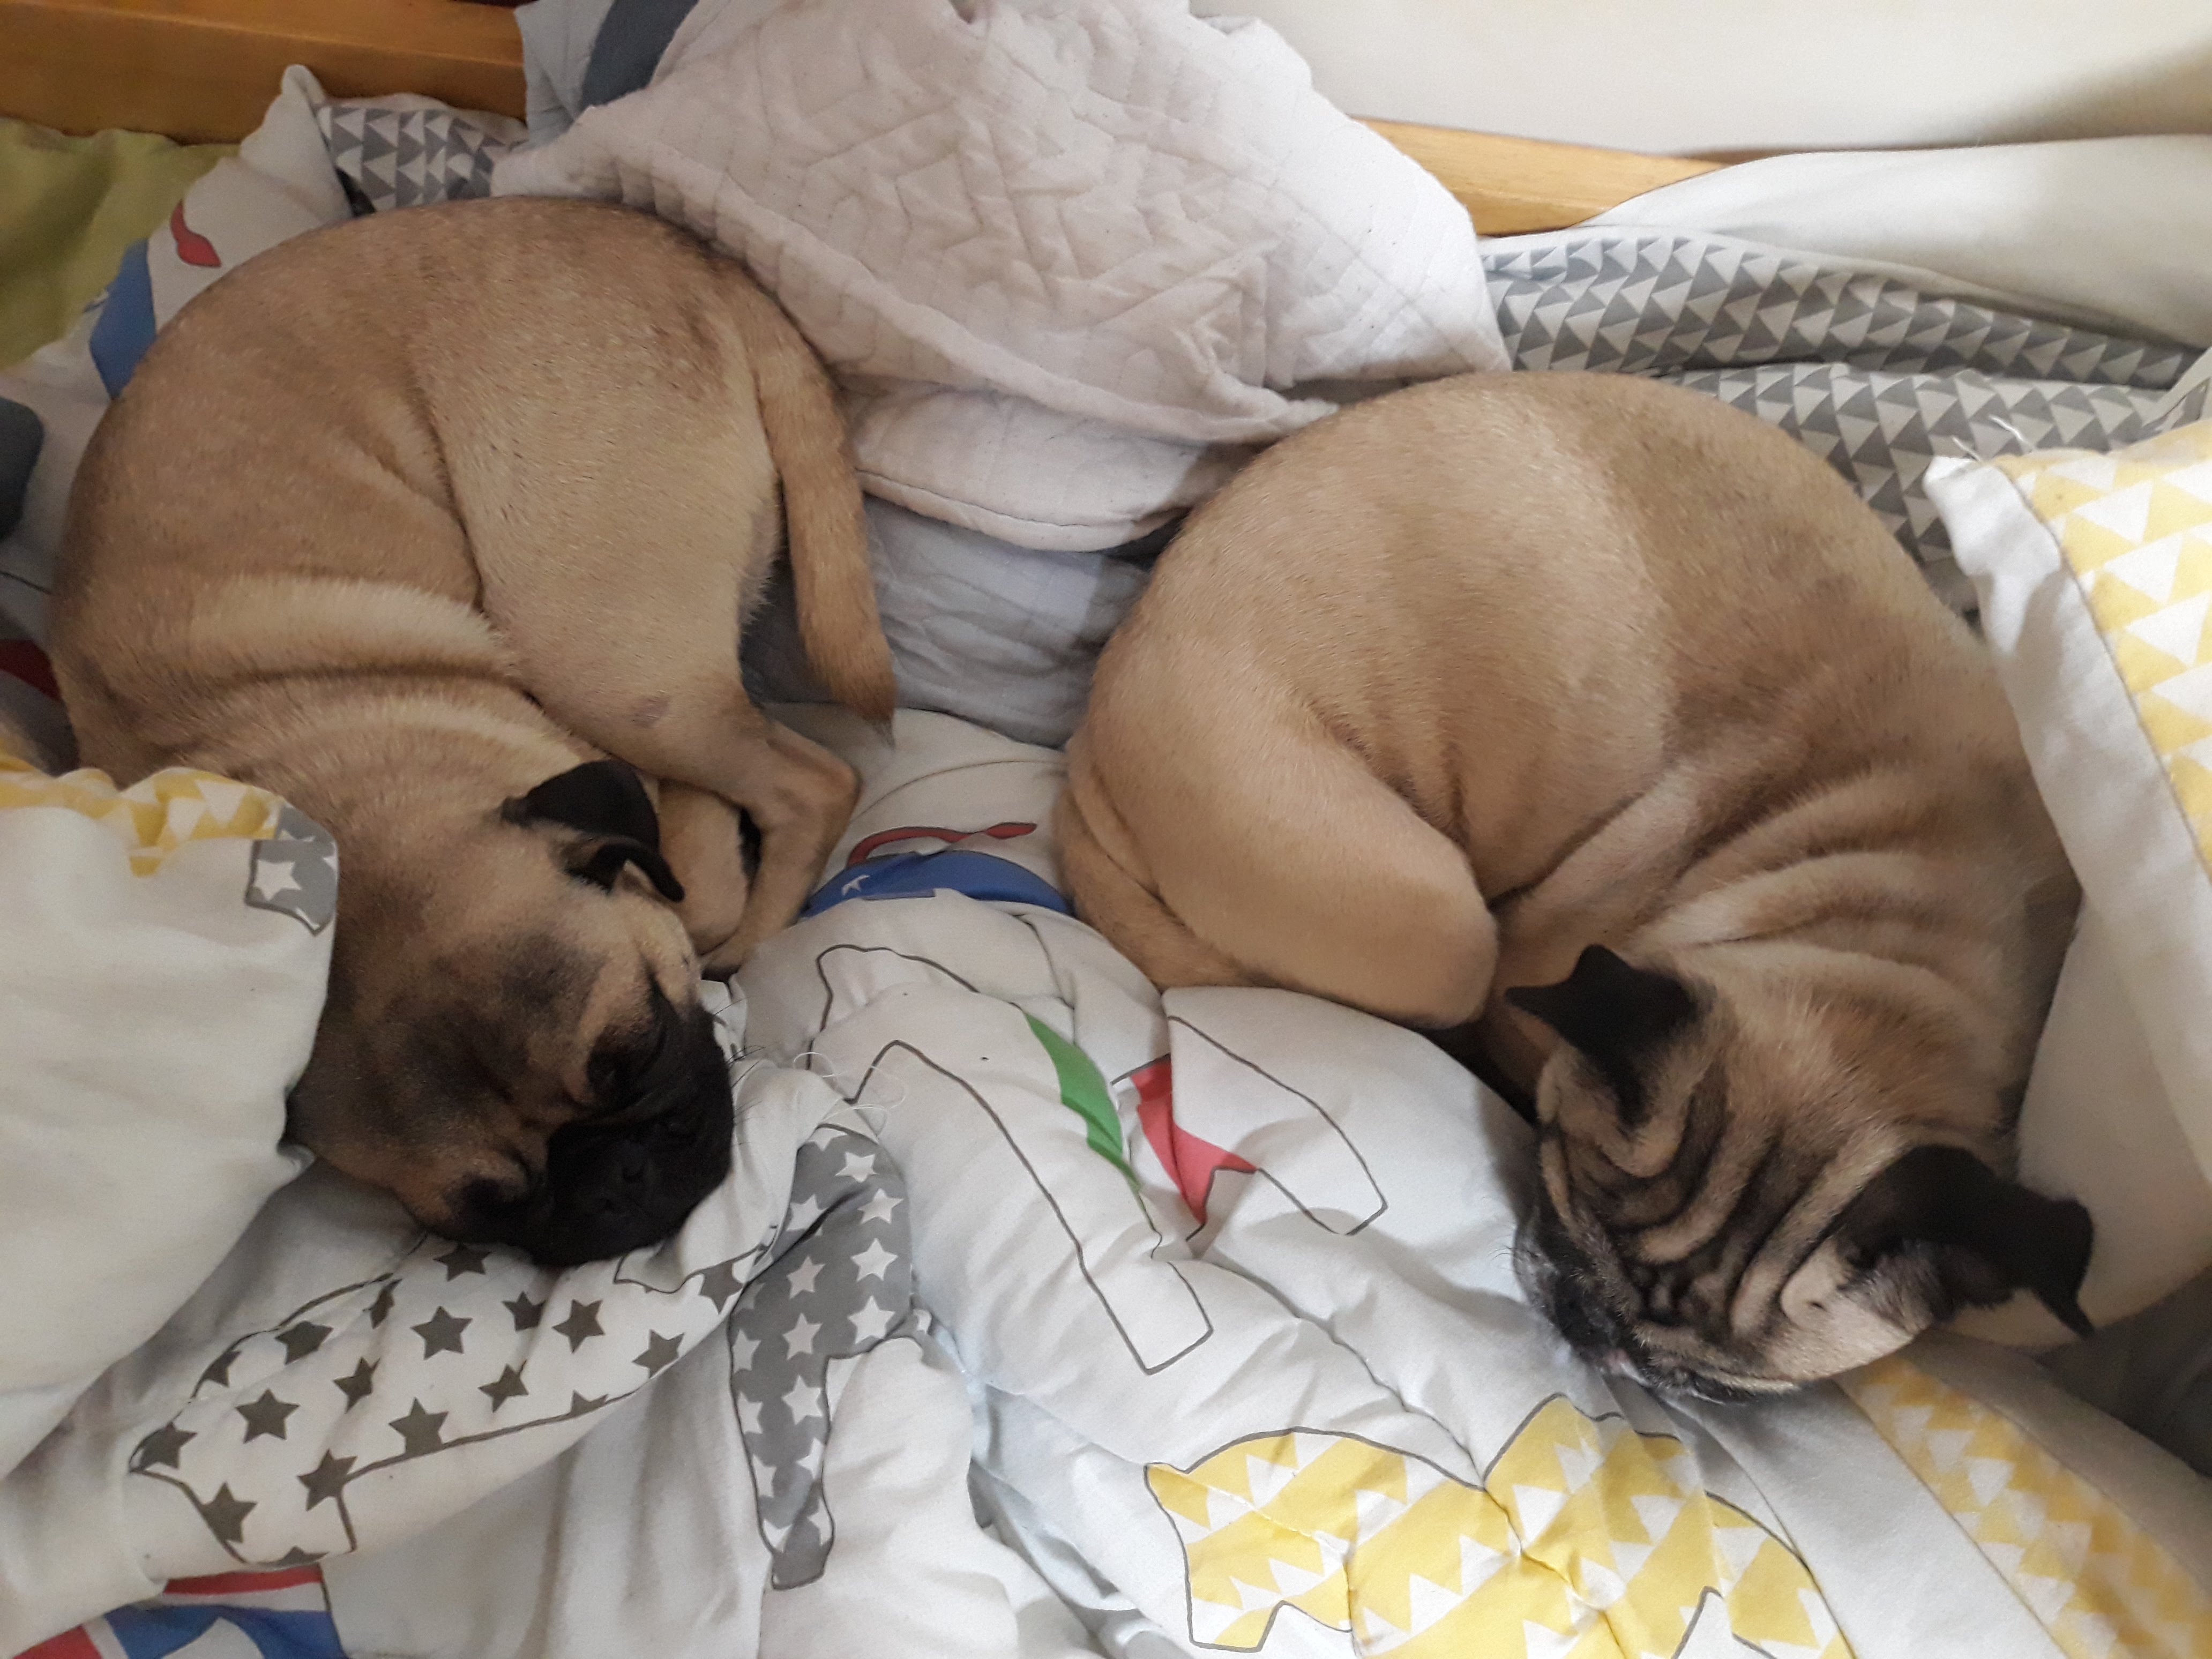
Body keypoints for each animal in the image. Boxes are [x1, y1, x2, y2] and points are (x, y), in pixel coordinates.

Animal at [52, 198, 895, 1265]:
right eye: (486, 1209)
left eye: (638, 1052)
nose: (616, 1184)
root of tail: (683, 253)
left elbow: (695, 888)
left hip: (610, 665)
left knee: (810, 784)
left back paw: (754, 930)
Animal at [1061, 371, 2088, 1396]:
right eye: (1568, 1182)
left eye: (1722, 1387)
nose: (1603, 1331)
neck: (1907, 925)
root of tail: (1093, 759)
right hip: (1441, 936)